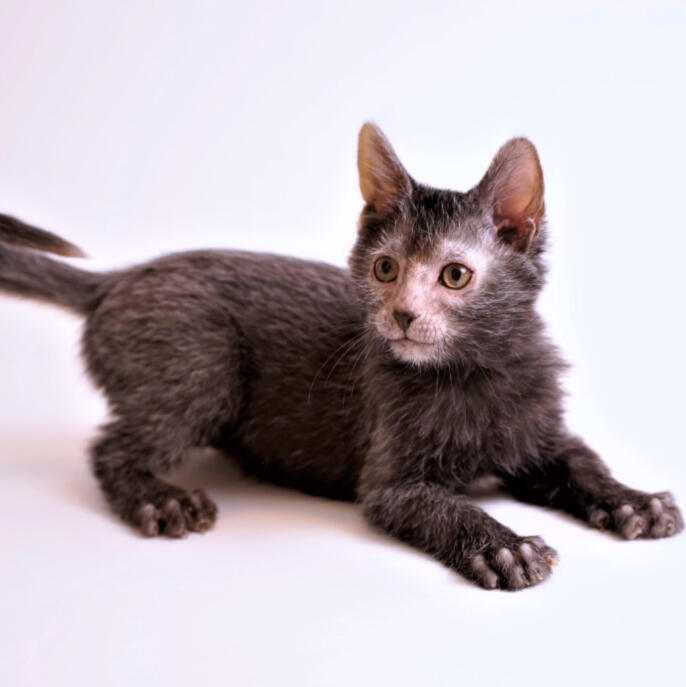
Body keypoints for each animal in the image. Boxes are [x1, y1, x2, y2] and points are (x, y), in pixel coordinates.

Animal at [0, 123, 682, 591]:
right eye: (385, 269)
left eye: (455, 275)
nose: (401, 314)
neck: (472, 374)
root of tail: (114, 281)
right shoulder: (391, 483)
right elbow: (447, 506)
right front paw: (503, 546)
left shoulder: (542, 429)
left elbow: (583, 462)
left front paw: (634, 500)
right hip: (204, 366)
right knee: (110, 449)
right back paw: (159, 498)